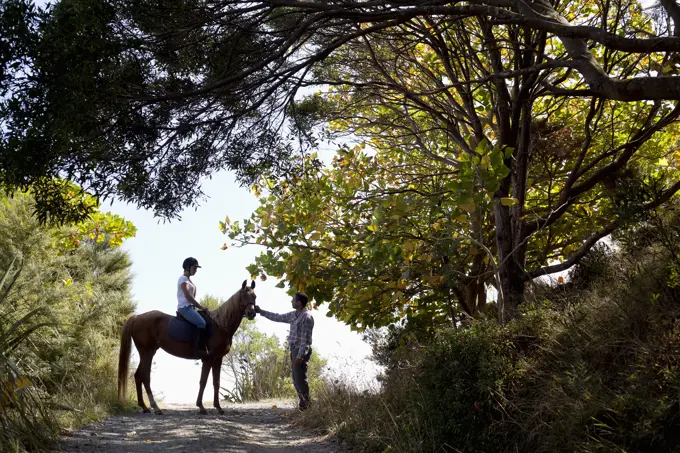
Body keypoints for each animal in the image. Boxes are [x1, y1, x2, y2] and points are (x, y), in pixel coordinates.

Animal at [118, 278, 256, 414]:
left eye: (254, 296)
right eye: (242, 296)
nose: (251, 313)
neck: (220, 325)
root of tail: (136, 317)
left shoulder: (218, 359)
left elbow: (216, 382)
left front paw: (218, 407)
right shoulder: (209, 359)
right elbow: (203, 381)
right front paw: (201, 407)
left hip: (149, 352)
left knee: (138, 376)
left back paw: (144, 407)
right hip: (146, 352)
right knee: (145, 377)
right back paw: (156, 407)